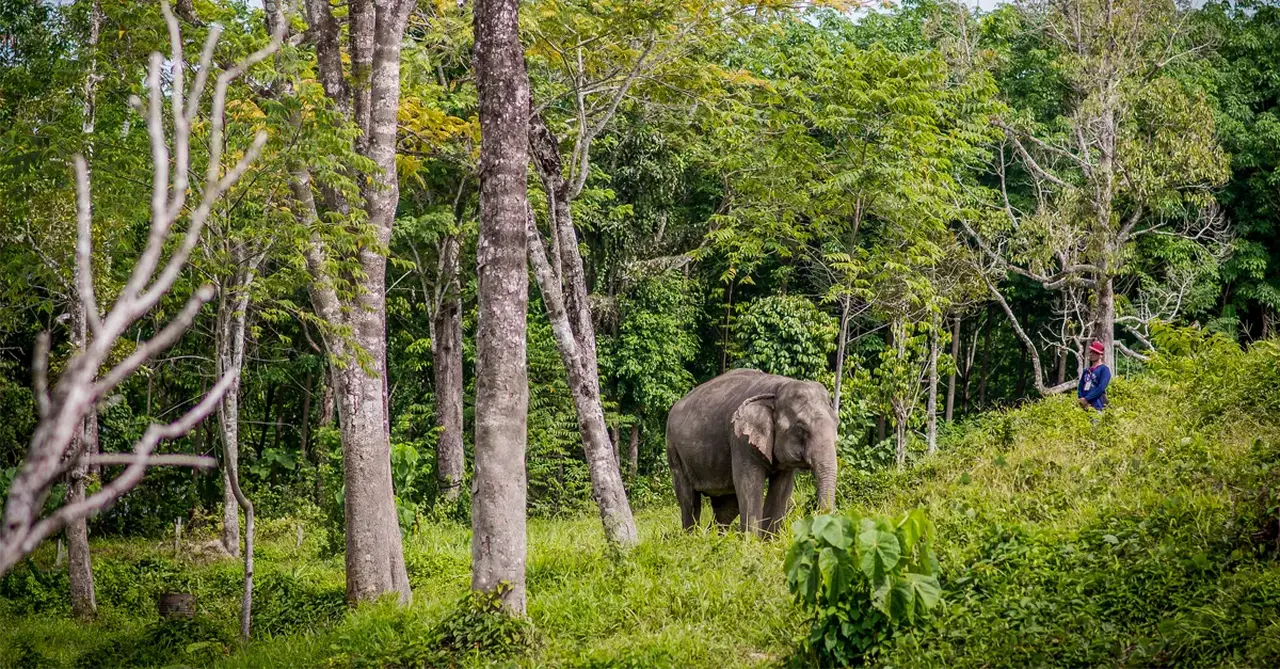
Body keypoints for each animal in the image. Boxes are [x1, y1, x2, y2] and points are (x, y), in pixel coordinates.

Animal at [664, 368, 838, 536]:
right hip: (674, 449)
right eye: (801, 428)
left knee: (726, 506)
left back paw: (714, 538)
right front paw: (752, 542)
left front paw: (769, 542)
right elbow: (749, 484)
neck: (777, 389)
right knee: (689, 500)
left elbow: (782, 489)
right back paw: (691, 538)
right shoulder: (740, 439)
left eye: (836, 424)